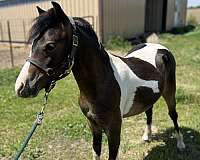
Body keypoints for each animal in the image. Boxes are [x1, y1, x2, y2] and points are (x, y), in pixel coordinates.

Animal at [14, 1, 185, 159]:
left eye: (50, 45)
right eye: (33, 43)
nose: (21, 87)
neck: (102, 83)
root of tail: (159, 48)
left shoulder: (114, 129)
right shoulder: (93, 125)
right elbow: (96, 150)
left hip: (170, 92)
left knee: (173, 114)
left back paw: (180, 144)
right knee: (149, 111)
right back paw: (146, 136)